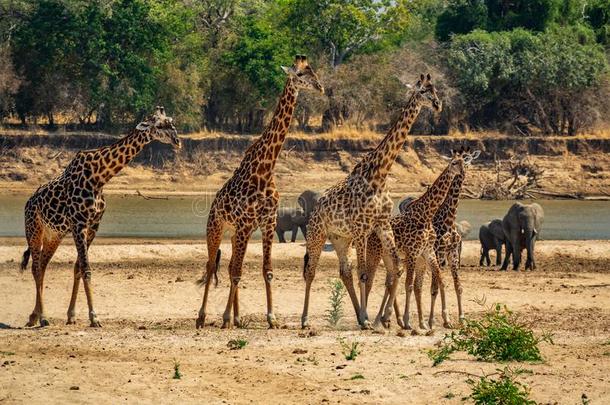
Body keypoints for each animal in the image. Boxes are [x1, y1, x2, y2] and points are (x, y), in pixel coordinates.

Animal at [19, 106, 180, 326]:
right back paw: (42, 318)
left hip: (54, 234)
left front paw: (72, 315)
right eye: (160, 125)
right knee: (35, 267)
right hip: (34, 230)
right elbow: (86, 268)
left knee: (42, 265)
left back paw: (34, 316)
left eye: (171, 121)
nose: (177, 141)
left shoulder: (94, 224)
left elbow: (78, 267)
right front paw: (94, 317)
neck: (99, 177)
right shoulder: (79, 224)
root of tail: (28, 203)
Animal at [197, 55, 326, 330]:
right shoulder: (247, 223)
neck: (265, 169)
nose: (320, 87)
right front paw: (225, 318)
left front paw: (271, 318)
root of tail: (213, 206)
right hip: (216, 228)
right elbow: (237, 272)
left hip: (235, 233)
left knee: (228, 266)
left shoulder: (266, 222)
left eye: (313, 70)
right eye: (300, 75)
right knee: (212, 264)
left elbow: (266, 270)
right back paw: (202, 317)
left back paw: (237, 317)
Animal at [300, 74, 440, 330]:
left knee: (344, 271)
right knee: (311, 271)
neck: (380, 174)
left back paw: (359, 315)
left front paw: (384, 319)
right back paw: (305, 320)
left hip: (340, 239)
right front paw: (371, 318)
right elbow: (364, 273)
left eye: (435, 90)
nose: (437, 105)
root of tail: (315, 209)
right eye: (423, 91)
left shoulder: (381, 225)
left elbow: (397, 268)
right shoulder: (361, 228)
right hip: (317, 234)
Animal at [364, 147, 478, 330]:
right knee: (370, 280)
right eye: (454, 162)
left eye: (466, 160)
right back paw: (370, 319)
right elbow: (416, 286)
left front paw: (451, 319)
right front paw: (418, 321)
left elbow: (446, 284)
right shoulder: (421, 252)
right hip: (375, 253)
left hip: (391, 257)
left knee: (391, 281)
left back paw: (385, 319)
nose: (463, 171)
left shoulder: (436, 253)